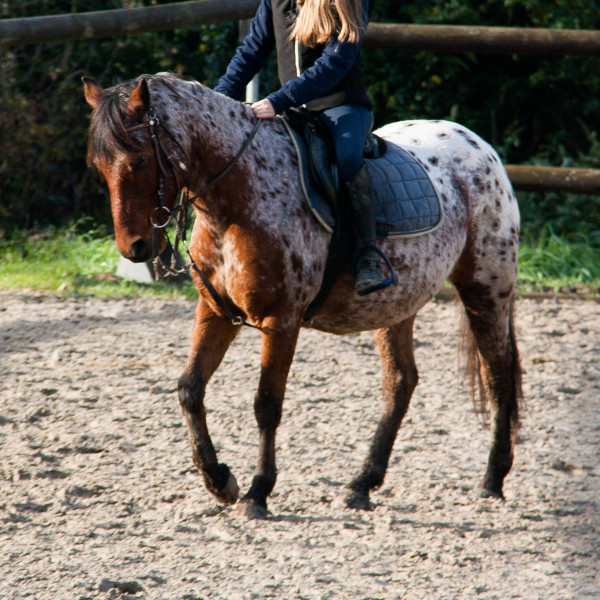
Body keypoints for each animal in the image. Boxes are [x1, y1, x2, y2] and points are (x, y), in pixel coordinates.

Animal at [82, 72, 524, 516]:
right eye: (98, 167)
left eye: (139, 160)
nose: (134, 248)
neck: (240, 196)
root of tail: (480, 146)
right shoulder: (216, 311)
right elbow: (190, 388)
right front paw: (219, 481)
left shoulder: (281, 322)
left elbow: (266, 404)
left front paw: (258, 491)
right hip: (397, 304)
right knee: (401, 383)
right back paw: (363, 483)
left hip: (485, 288)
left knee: (498, 375)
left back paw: (493, 478)